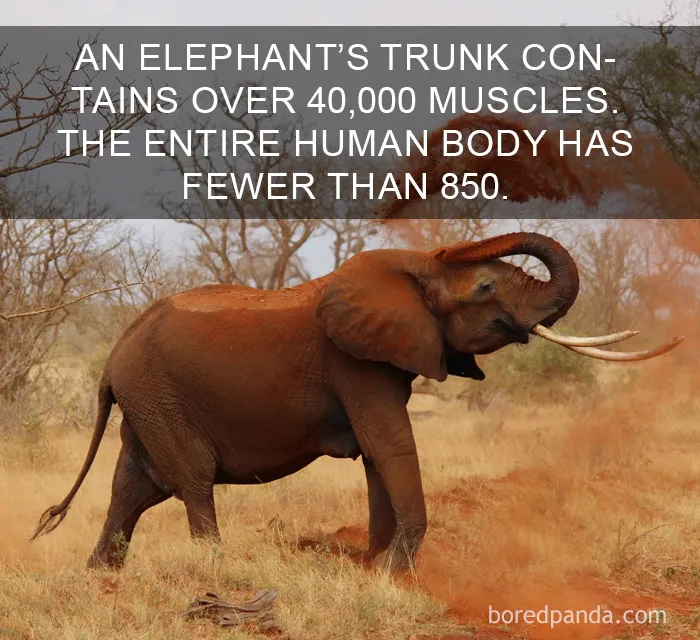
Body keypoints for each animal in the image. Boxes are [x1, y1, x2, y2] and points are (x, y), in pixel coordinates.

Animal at [31, 232, 681, 573]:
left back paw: (100, 578)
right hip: (159, 395)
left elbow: (377, 454)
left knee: (134, 486)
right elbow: (389, 444)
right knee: (189, 481)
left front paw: (373, 566)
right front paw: (393, 573)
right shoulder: (356, 363)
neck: (414, 268)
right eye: (486, 287)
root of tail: (113, 357)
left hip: (148, 399)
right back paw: (216, 570)